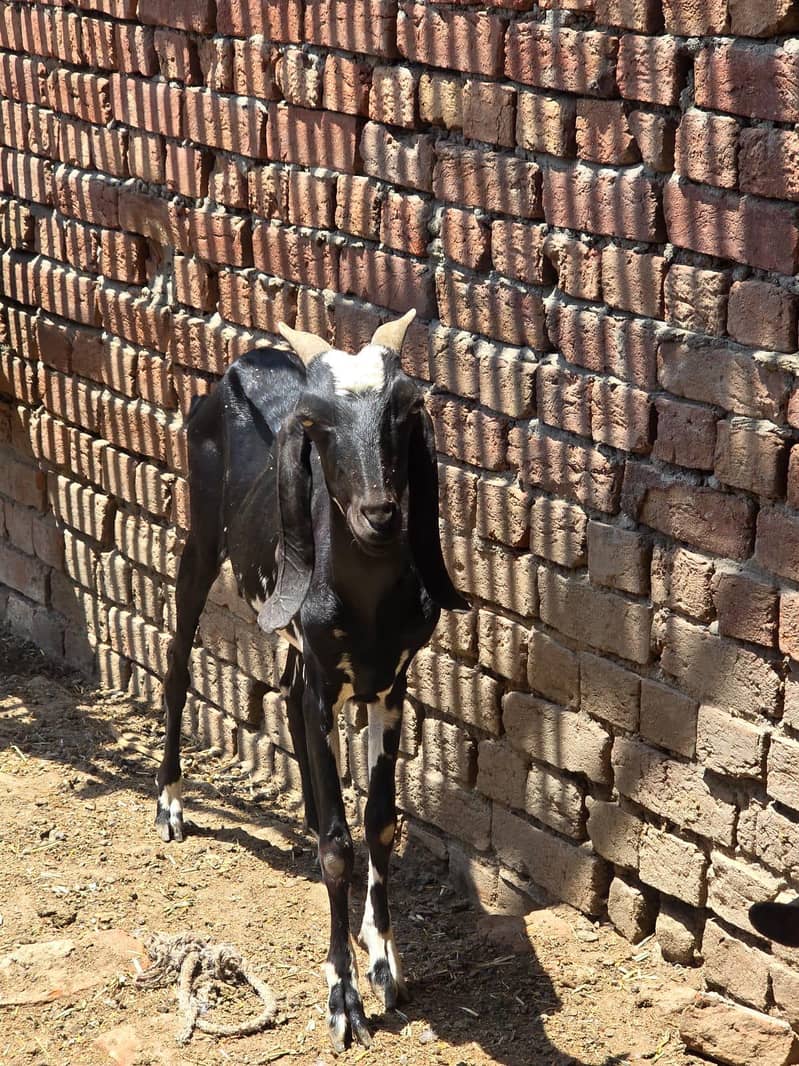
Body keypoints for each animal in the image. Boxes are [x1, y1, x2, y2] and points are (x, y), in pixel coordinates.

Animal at [154, 309, 467, 1052]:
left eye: (404, 408)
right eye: (317, 422)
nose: (380, 514)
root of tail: (247, 364)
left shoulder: (391, 686)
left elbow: (379, 823)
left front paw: (383, 961)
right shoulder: (331, 686)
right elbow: (336, 847)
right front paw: (342, 998)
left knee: (286, 690)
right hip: (201, 536)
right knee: (178, 656)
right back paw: (171, 801)